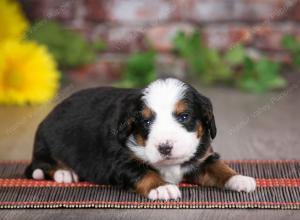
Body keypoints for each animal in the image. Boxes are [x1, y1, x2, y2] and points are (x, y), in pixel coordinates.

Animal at [25, 78, 255, 200]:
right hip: (46, 143)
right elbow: (143, 172)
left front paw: (239, 178)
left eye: (184, 116)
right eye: (146, 121)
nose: (165, 147)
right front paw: (161, 187)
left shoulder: (202, 157)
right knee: (43, 164)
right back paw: (65, 173)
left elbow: (219, 168)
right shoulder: (121, 160)